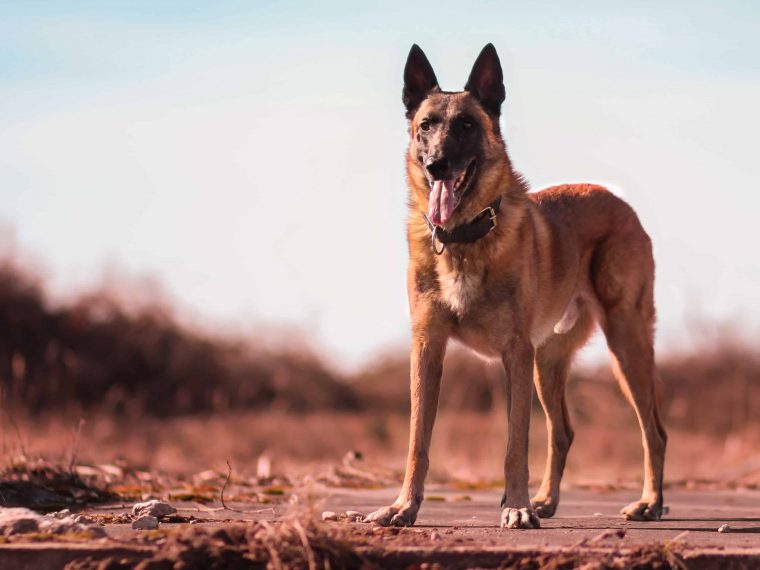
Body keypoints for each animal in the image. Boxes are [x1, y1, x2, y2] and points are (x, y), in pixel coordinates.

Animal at [366, 44, 668, 528]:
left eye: (467, 125)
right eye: (426, 125)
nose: (437, 165)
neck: (464, 237)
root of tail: (616, 198)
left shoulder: (515, 353)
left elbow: (515, 444)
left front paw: (517, 507)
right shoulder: (428, 348)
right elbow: (417, 441)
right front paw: (403, 506)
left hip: (625, 343)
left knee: (653, 430)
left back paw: (650, 502)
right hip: (548, 361)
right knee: (564, 432)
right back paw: (548, 499)